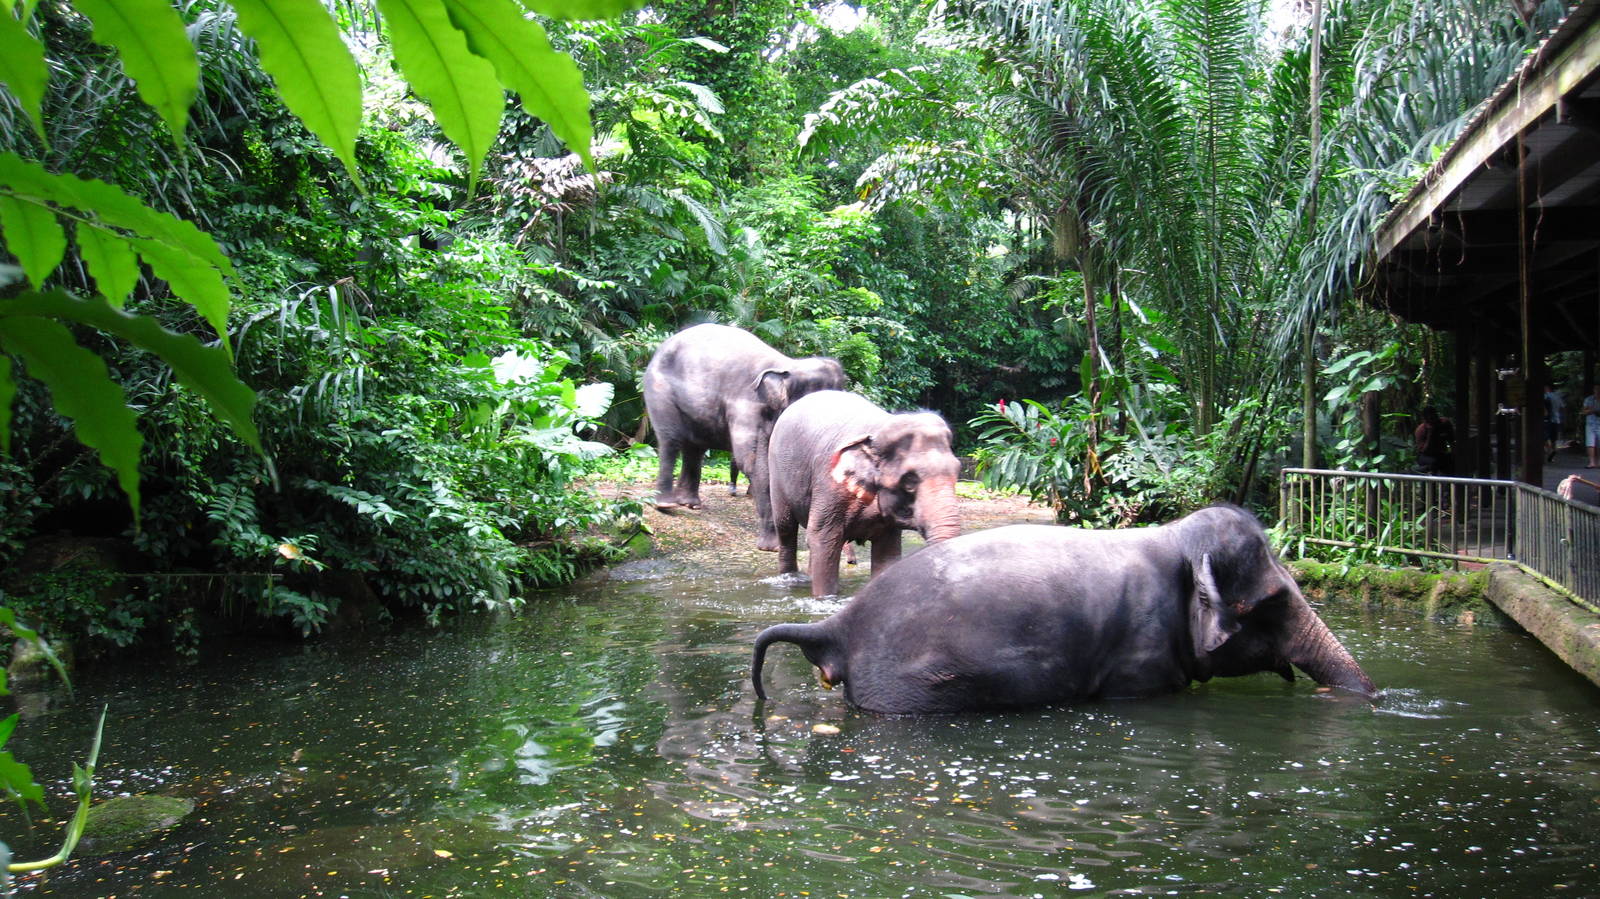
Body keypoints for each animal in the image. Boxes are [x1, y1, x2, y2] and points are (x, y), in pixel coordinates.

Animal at [642, 323, 845, 549]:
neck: (788, 365)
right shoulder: (747, 406)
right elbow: (754, 463)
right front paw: (772, 547)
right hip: (659, 389)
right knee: (670, 440)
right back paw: (665, 504)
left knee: (695, 448)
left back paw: (690, 504)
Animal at [767, 390, 962, 597]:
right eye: (909, 481)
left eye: (957, 472)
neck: (879, 429)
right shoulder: (829, 484)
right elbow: (823, 538)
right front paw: (824, 598)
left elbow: (887, 550)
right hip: (777, 474)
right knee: (786, 528)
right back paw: (790, 579)